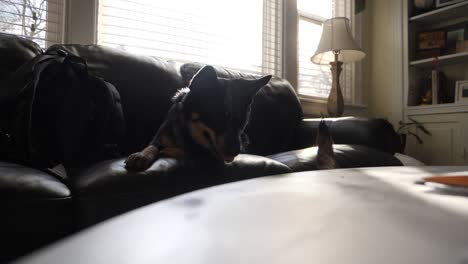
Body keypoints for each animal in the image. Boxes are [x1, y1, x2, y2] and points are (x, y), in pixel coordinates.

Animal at [125, 65, 270, 170]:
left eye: (242, 122)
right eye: (217, 118)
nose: (236, 152)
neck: (188, 133)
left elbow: (189, 151)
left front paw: (169, 150)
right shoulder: (161, 136)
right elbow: (152, 146)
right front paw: (141, 155)